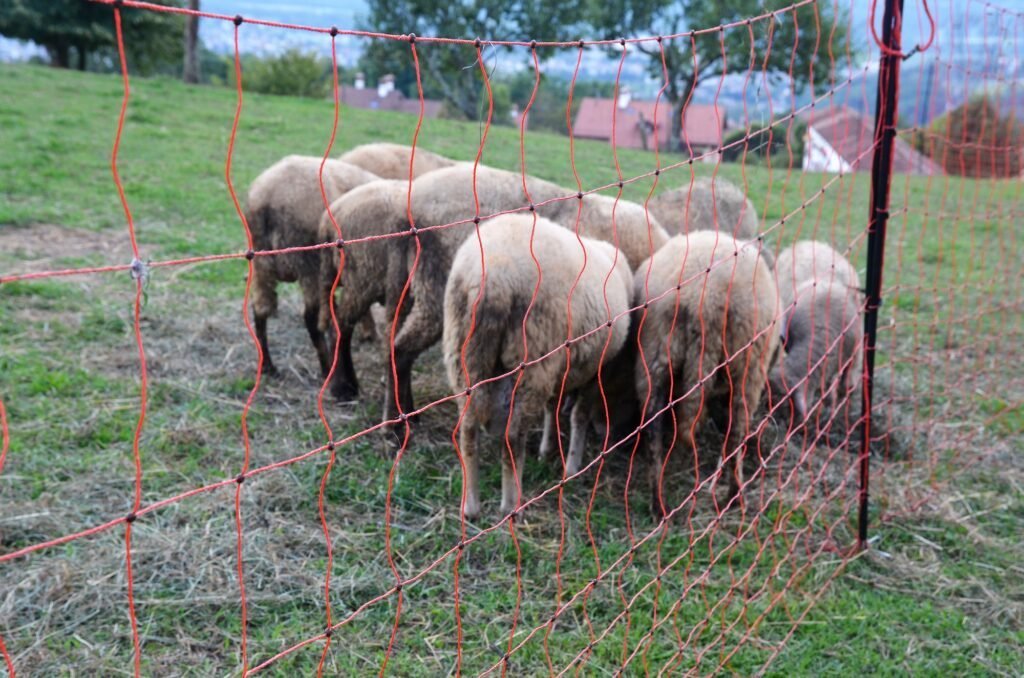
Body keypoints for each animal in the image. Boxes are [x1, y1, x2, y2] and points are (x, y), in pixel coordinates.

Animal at [244, 157, 380, 378]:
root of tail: (266, 198)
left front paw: (369, 332)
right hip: (309, 266)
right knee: (311, 319)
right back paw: (326, 369)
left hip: (261, 265)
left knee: (260, 310)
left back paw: (268, 366)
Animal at [446, 215, 634, 518]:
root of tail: (494, 276)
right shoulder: (596, 368)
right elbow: (579, 415)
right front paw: (573, 465)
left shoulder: (561, 370)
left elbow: (552, 407)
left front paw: (547, 449)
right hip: (533, 356)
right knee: (512, 438)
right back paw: (511, 505)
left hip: (466, 354)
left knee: (468, 430)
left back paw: (470, 506)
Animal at [630, 231, 774, 518]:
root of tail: (709, 298)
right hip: (747, 367)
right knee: (735, 432)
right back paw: (733, 496)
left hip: (657, 355)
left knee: (655, 429)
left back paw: (661, 504)